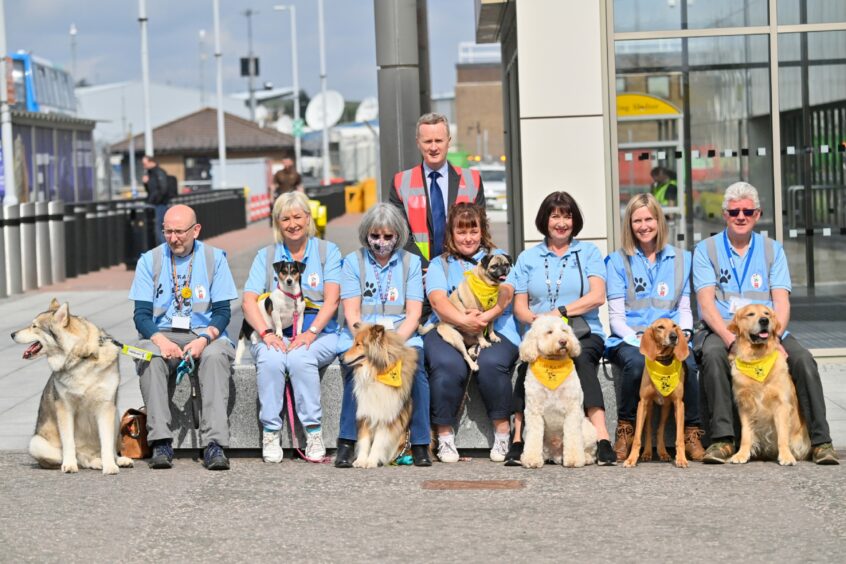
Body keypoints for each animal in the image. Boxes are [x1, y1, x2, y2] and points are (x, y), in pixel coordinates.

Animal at [10, 302, 133, 474]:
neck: (83, 359)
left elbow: (107, 444)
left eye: (34, 326)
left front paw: (110, 466)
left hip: (116, 415)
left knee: (107, 450)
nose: (12, 334)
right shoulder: (65, 408)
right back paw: (94, 462)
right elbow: (69, 443)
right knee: (81, 458)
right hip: (36, 443)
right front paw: (69, 465)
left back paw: (117, 460)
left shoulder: (106, 407)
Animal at [628, 318, 692, 468]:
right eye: (660, 327)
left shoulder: (679, 404)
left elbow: (679, 438)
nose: (674, 336)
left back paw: (663, 452)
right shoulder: (643, 402)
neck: (662, 363)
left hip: (666, 408)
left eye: (674, 326)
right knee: (649, 429)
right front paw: (631, 459)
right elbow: (637, 437)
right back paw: (647, 453)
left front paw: (681, 458)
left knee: (660, 429)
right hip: (649, 407)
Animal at [732, 306, 812, 464]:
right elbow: (746, 434)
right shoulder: (744, 405)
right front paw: (741, 454)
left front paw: (786, 456)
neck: (757, 359)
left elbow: (782, 436)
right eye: (750, 314)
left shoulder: (781, 404)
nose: (764, 320)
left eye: (766, 313)